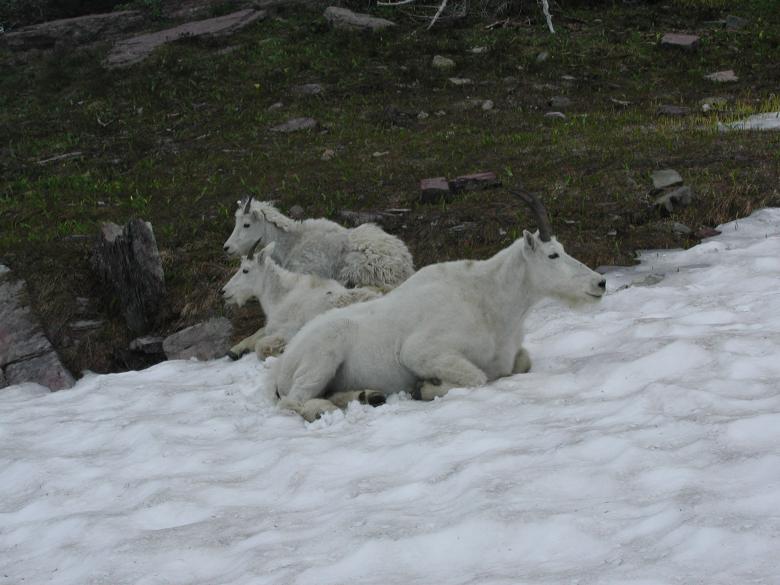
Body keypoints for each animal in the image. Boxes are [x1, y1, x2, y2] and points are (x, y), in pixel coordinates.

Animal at [222, 241, 381, 360]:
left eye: (245, 270)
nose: (223, 291)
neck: (281, 297)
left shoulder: (288, 330)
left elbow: (260, 347)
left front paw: (281, 349)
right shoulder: (272, 327)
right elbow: (257, 333)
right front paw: (235, 350)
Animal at [271, 190, 607, 422]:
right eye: (553, 255)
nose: (600, 283)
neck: (490, 300)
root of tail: (283, 364)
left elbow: (522, 362)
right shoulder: (421, 352)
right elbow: (476, 377)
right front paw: (425, 388)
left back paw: (368, 396)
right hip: (322, 357)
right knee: (292, 401)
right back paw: (322, 409)